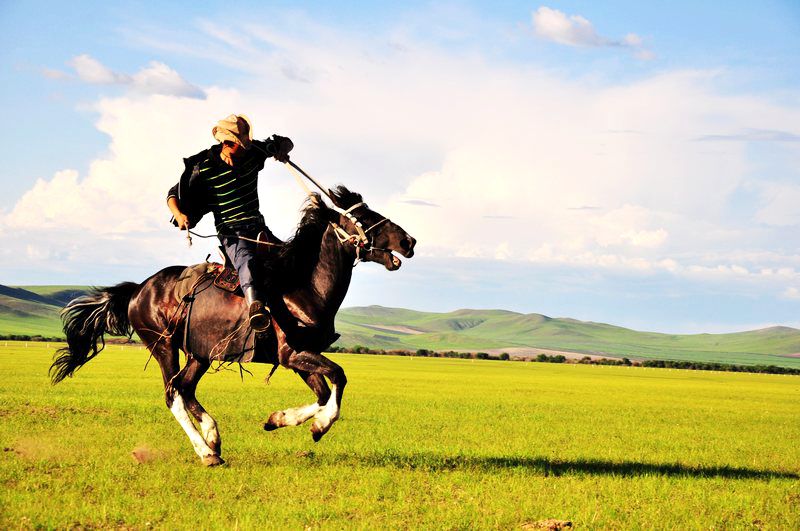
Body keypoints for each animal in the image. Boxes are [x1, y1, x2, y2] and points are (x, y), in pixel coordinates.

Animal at [49, 187, 416, 466]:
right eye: (365, 218)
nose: (409, 241)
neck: (303, 285)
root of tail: (139, 289)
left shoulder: (299, 357)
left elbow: (324, 392)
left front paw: (278, 420)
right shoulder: (293, 353)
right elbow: (338, 378)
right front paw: (320, 427)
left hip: (199, 354)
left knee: (185, 388)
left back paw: (213, 437)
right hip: (163, 346)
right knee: (173, 394)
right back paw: (206, 452)